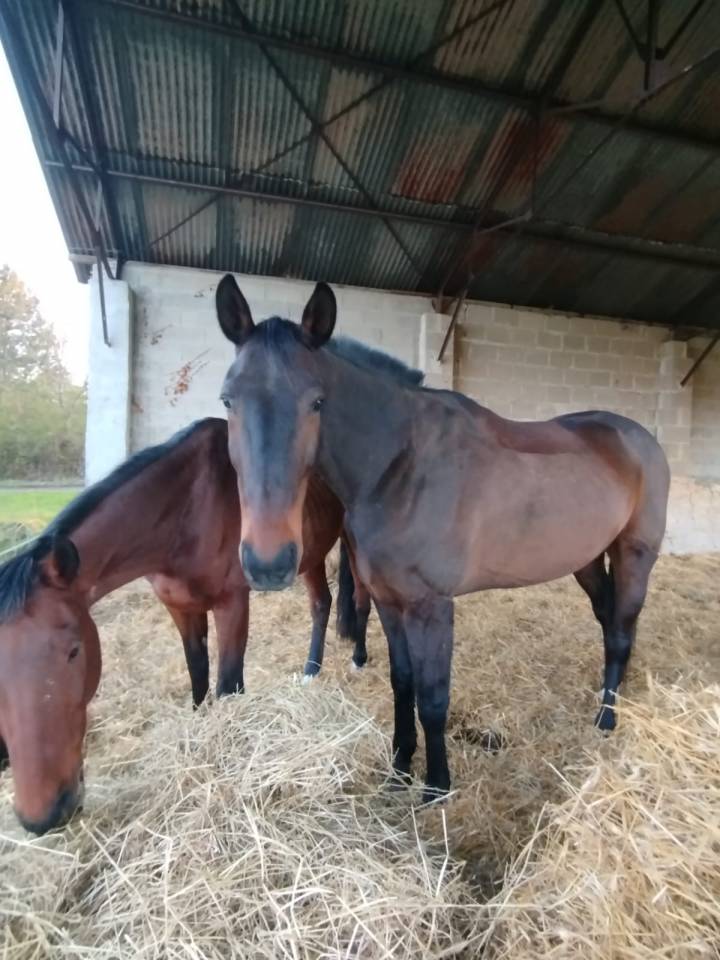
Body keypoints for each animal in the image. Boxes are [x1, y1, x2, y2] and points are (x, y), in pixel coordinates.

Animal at [0, 418, 364, 834]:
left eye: (74, 651)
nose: (43, 815)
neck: (188, 508)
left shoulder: (231, 603)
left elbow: (228, 686)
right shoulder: (181, 609)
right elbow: (198, 678)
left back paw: (356, 659)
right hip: (311, 553)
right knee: (322, 604)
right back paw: (310, 671)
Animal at [214, 274, 671, 804]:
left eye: (317, 401)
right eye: (228, 400)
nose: (269, 562)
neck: (400, 465)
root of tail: (640, 438)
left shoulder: (432, 607)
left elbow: (433, 697)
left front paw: (436, 786)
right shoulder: (389, 602)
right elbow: (402, 684)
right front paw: (398, 769)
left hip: (635, 555)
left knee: (619, 631)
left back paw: (606, 718)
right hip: (588, 559)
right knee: (610, 621)